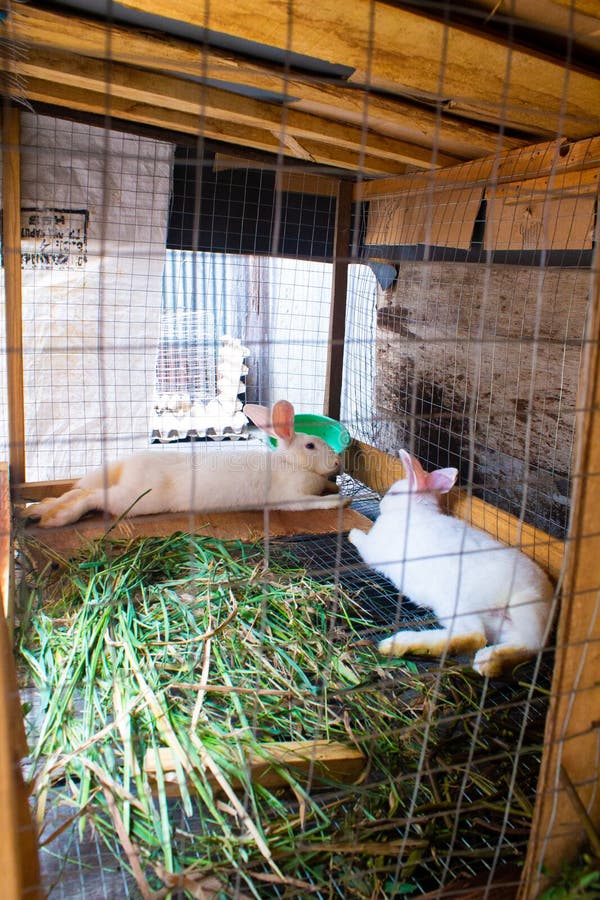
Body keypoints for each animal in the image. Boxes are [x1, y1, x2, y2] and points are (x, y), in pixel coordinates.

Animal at [21, 400, 345, 528]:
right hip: (136, 501)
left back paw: (39, 509)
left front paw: (334, 487)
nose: (338, 461)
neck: (291, 462)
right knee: (94, 498)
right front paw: (340, 500)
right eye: (311, 445)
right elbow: (314, 503)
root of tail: (128, 466)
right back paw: (56, 518)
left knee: (78, 490)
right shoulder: (291, 497)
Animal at [348, 450, 555, 678]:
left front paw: (352, 534)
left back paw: (400, 644)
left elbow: (363, 543)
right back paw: (487, 662)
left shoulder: (374, 549)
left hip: (455, 602)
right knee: (521, 646)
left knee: (474, 636)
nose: (382, 503)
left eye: (394, 493)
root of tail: (526, 595)